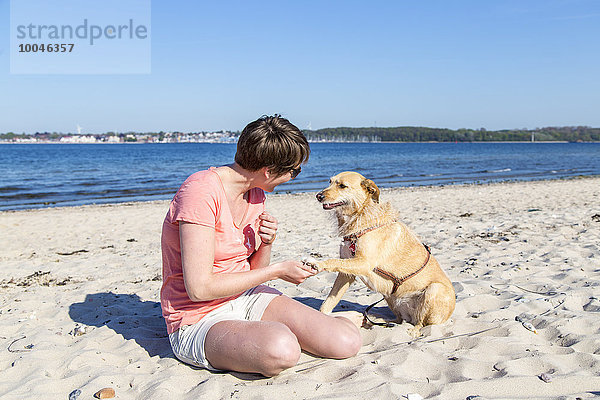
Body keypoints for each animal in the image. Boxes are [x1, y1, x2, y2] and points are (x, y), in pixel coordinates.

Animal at [314, 170, 454, 336]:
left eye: (342, 186)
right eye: (329, 182)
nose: (318, 196)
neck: (360, 217)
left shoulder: (363, 263)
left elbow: (333, 261)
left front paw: (316, 263)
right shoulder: (346, 274)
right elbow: (329, 301)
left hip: (433, 290)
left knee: (421, 322)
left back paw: (412, 331)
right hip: (389, 297)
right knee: (400, 319)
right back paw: (378, 321)